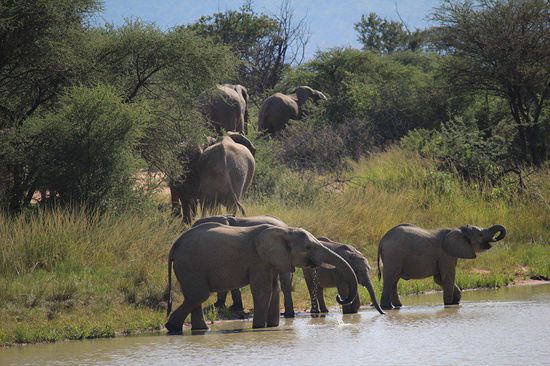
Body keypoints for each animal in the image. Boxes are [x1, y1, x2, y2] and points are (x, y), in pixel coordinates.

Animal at [166, 222, 360, 334]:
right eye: (308, 247)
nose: (339, 297)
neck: (285, 231)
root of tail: (174, 245)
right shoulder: (258, 260)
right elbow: (264, 291)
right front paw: (259, 328)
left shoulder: (271, 260)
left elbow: (275, 289)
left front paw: (273, 327)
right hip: (190, 265)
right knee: (199, 295)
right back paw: (172, 328)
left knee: (195, 297)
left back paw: (199, 330)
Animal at [380, 223, 508, 308]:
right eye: (481, 234)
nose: (496, 237)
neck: (459, 230)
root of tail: (382, 239)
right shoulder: (445, 254)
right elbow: (448, 277)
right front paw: (449, 304)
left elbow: (439, 279)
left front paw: (456, 302)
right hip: (393, 256)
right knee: (390, 279)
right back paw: (387, 308)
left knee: (394, 281)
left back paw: (398, 306)